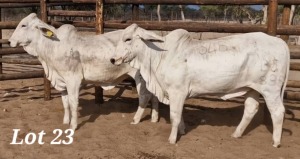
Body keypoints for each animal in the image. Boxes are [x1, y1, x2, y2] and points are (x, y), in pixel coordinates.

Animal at [8, 13, 159, 130]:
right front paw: (65, 121)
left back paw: (136, 119)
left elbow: (73, 103)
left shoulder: (73, 80)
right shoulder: (62, 81)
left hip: (140, 76)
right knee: (154, 95)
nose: (9, 41)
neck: (53, 46)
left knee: (145, 96)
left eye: (23, 25)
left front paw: (73, 126)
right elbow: (65, 103)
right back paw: (154, 118)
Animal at [111, 23, 290, 148]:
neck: (161, 55)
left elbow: (174, 116)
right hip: (253, 88)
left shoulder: (177, 92)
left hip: (270, 89)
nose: (113, 59)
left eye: (128, 39)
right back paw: (236, 134)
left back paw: (276, 141)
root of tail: (279, 41)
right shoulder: (176, 94)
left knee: (277, 112)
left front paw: (172, 139)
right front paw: (182, 130)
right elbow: (180, 115)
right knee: (251, 109)